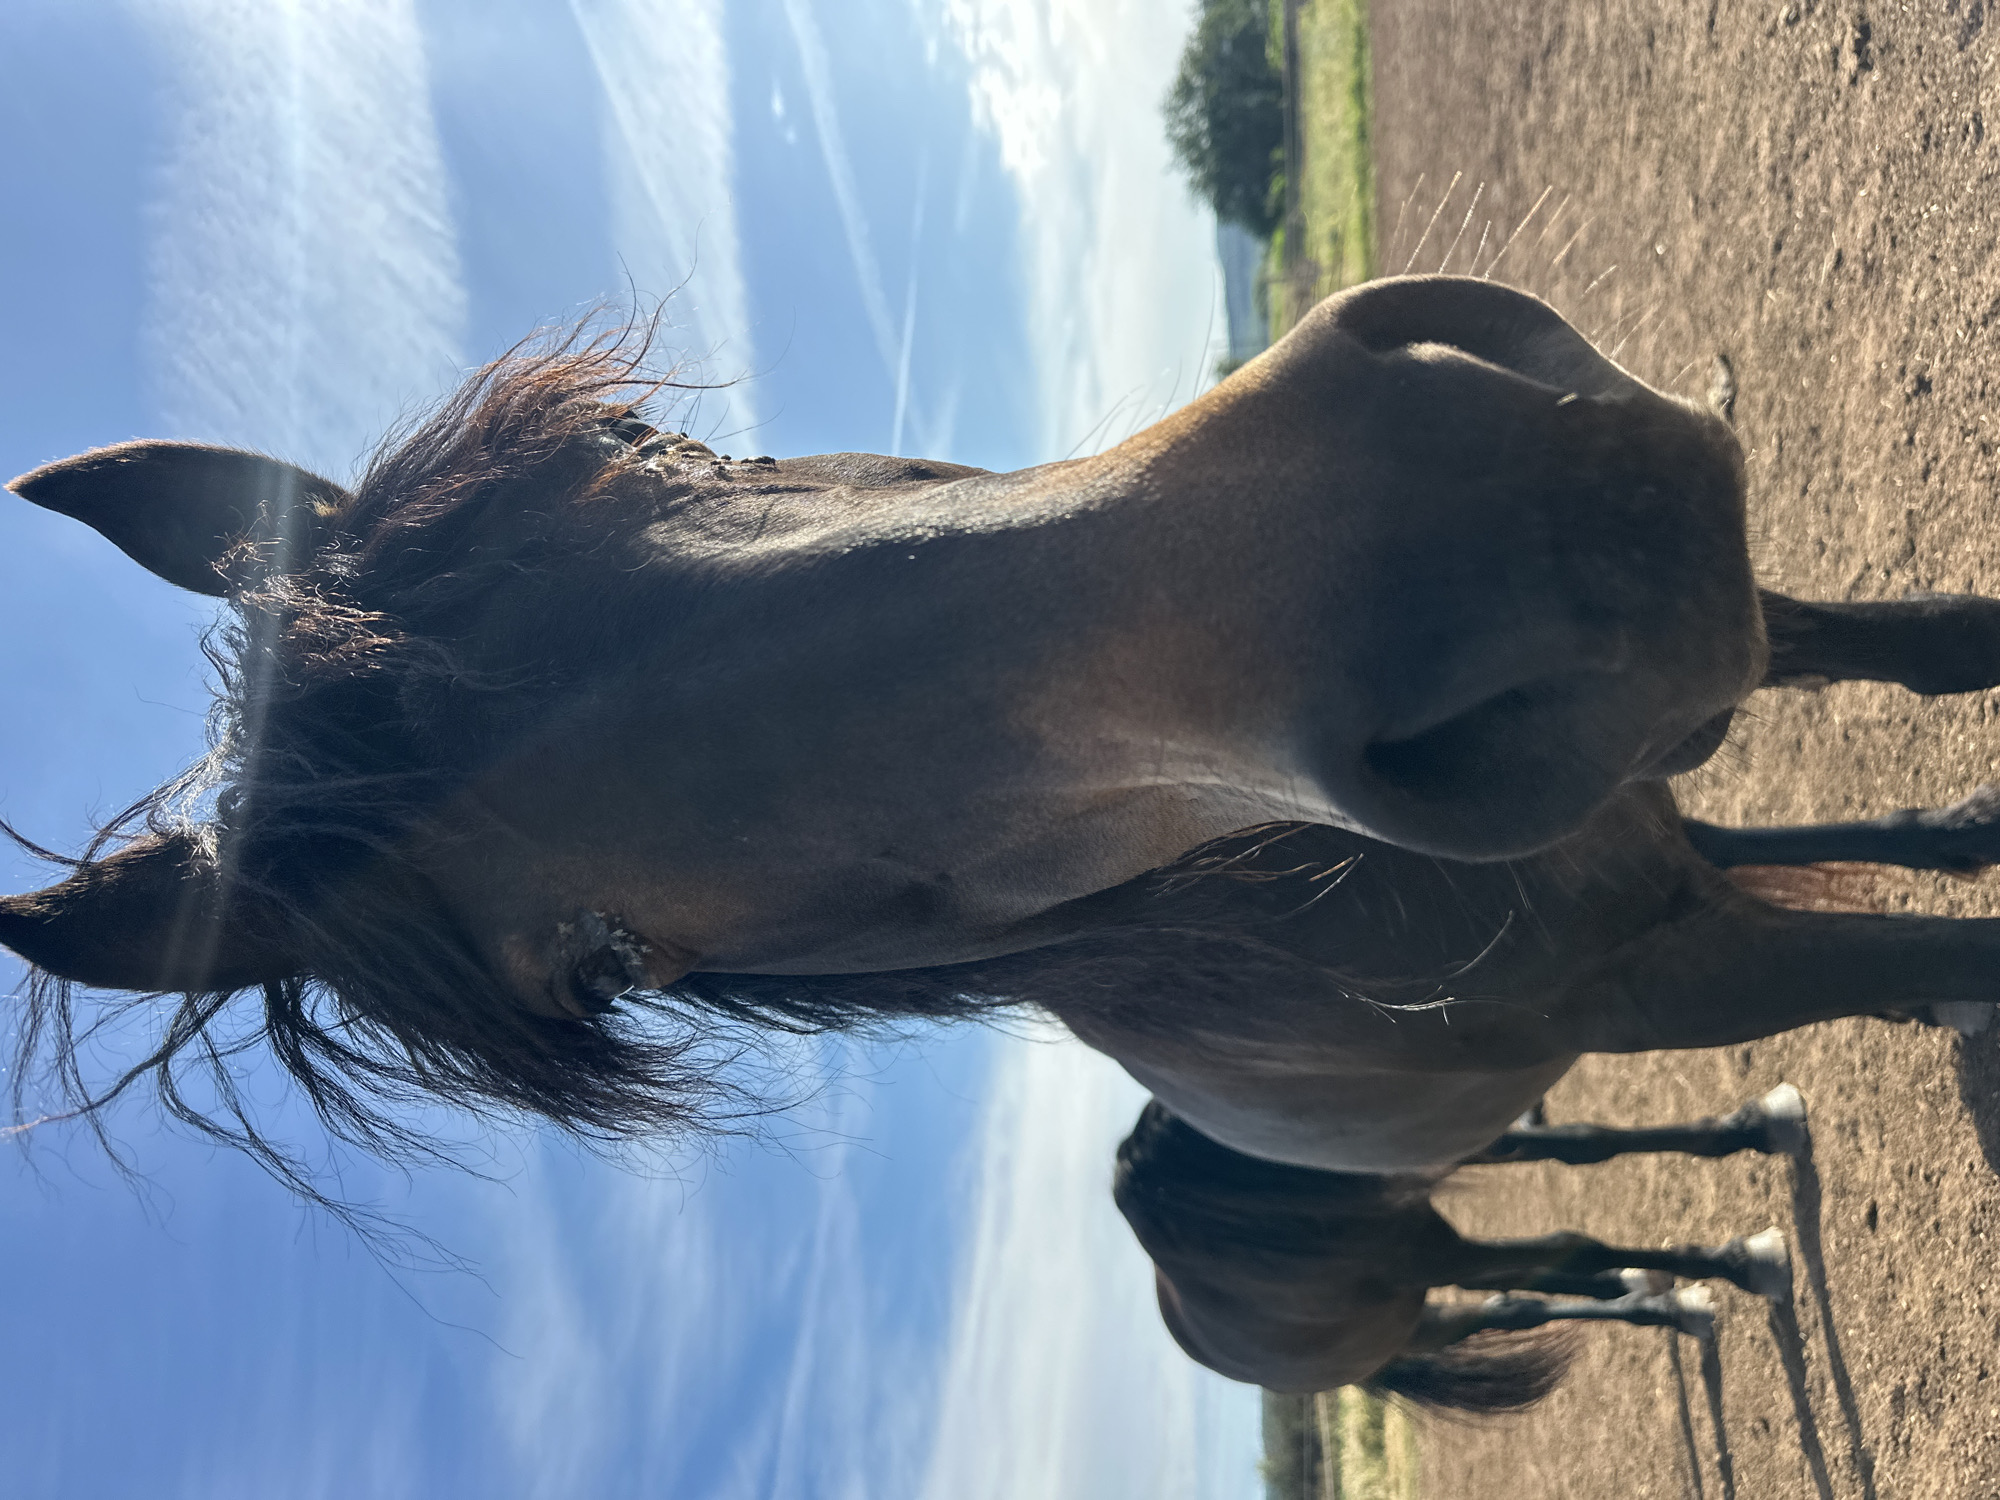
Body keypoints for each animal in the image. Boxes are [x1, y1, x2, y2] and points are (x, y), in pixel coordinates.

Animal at [7, 274, 2000, 1189]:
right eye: (605, 960)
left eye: (633, 445)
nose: (1436, 522)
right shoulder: (1670, 983)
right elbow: (1935, 955)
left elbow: (1906, 649)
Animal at [1112, 1089, 1806, 1408]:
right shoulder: (1424, 1252)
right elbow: (1572, 1246)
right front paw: (1745, 1262)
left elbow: (1583, 1143)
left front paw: (1762, 1123)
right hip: (1418, 1316)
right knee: (1520, 1300)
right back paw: (1665, 1300)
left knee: (1517, 1296)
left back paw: (1641, 1287)